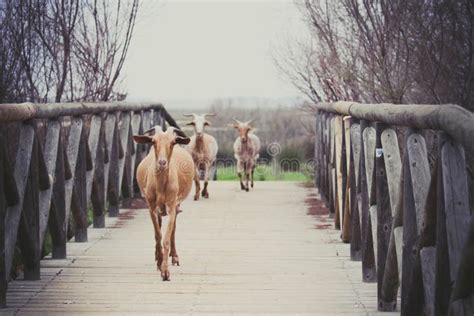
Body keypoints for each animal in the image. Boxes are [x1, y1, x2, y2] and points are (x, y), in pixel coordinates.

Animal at [132, 124, 193, 280]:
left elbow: (166, 237)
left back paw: (175, 257)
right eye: (153, 142)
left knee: (173, 229)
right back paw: (157, 257)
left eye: (173, 142)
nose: (162, 162)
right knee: (159, 225)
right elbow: (158, 234)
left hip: (176, 204)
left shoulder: (172, 205)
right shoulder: (151, 206)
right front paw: (159, 263)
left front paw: (165, 272)